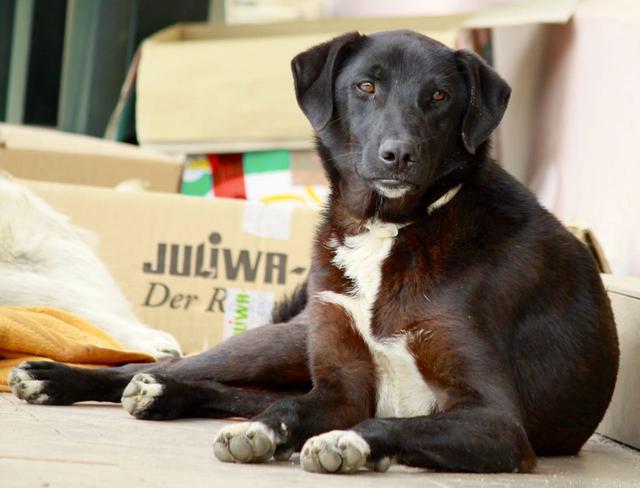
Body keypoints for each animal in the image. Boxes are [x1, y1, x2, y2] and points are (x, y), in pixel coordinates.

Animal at [11, 29, 620, 472]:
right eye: (366, 87)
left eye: (440, 97)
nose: (398, 154)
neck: (388, 230)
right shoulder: (339, 383)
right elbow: (287, 408)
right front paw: (265, 434)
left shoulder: (497, 423)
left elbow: (386, 422)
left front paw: (346, 443)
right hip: (281, 341)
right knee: (167, 363)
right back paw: (61, 378)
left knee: (225, 388)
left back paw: (163, 395)